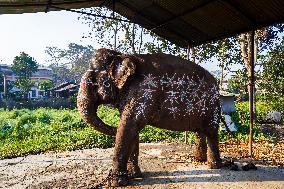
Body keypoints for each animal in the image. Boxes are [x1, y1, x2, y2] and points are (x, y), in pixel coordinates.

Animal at [77, 48, 222, 187]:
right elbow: (132, 129)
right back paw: (198, 159)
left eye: (92, 81)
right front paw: (134, 175)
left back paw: (215, 166)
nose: (112, 127)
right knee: (200, 131)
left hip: (212, 106)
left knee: (211, 132)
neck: (123, 55)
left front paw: (116, 183)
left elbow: (128, 125)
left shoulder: (144, 92)